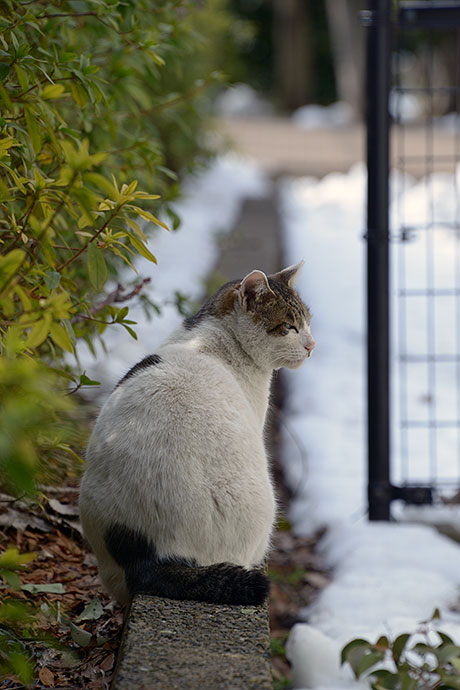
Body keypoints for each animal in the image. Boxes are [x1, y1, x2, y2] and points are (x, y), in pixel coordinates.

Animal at [79, 260, 314, 604]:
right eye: (289, 326)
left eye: (308, 321)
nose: (311, 346)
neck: (212, 338)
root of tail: (148, 558)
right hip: (263, 507)